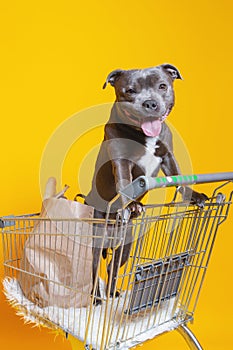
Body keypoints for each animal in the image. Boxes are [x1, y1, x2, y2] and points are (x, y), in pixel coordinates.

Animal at [84, 63, 208, 304]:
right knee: (94, 271)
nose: (150, 103)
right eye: (130, 91)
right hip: (97, 239)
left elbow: (179, 178)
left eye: (162, 86)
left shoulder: (168, 156)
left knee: (112, 267)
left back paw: (112, 293)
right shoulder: (121, 160)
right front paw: (132, 204)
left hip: (126, 245)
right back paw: (97, 299)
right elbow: (124, 181)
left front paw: (194, 195)